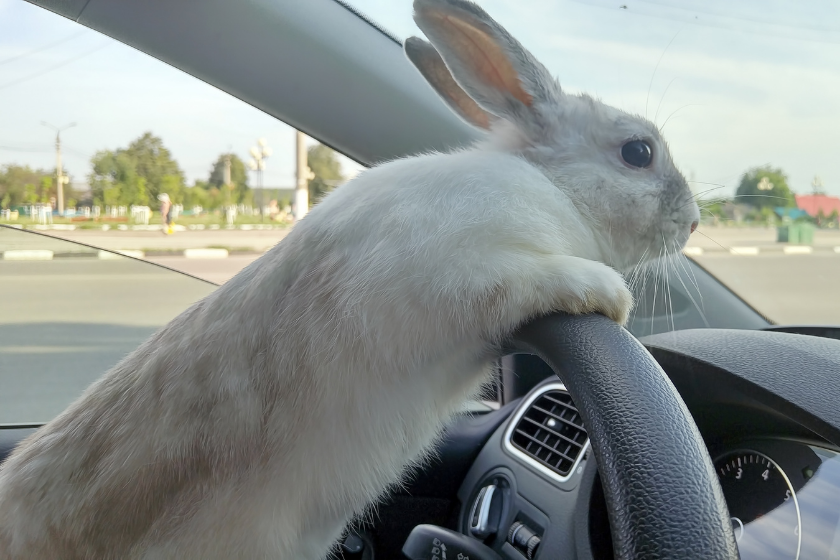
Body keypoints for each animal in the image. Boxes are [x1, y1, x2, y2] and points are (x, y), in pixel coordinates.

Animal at [0, 1, 700, 560]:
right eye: (638, 152)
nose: (694, 221)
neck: (556, 191)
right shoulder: (465, 273)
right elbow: (530, 282)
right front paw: (610, 296)